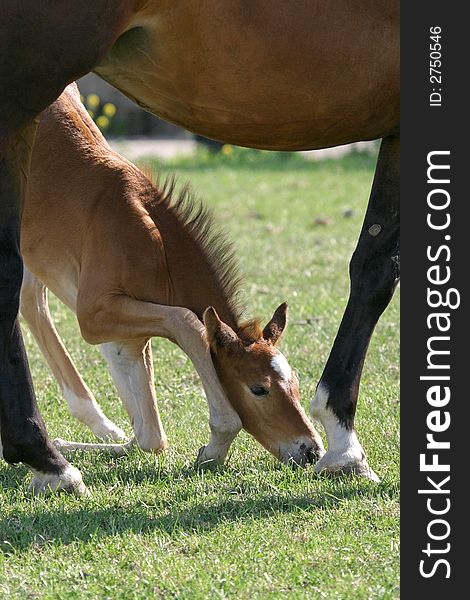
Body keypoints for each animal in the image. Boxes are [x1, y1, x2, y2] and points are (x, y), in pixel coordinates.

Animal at [17, 85, 324, 488]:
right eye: (259, 388)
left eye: (297, 383)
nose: (311, 450)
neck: (147, 234)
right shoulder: (95, 314)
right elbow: (187, 322)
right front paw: (217, 442)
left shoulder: (123, 337)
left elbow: (151, 437)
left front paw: (75, 445)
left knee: (30, 299)